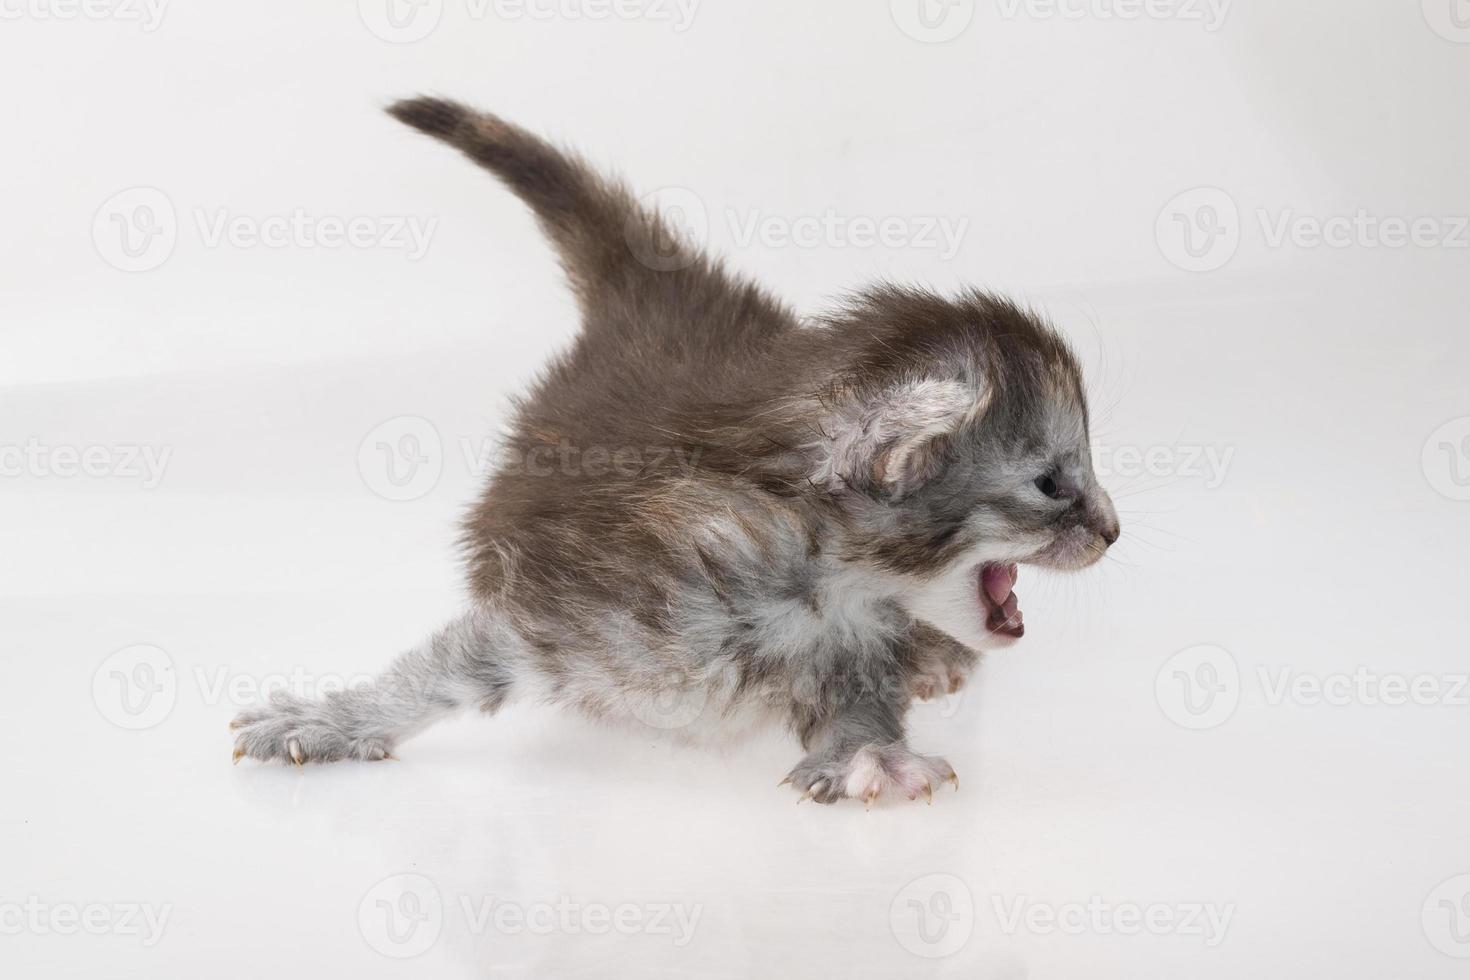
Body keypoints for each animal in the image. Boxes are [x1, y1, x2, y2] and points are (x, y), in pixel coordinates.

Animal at [226, 95, 1111, 811]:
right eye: (1050, 482)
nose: (1112, 529)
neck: (817, 577)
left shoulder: (856, 638)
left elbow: (861, 701)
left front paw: (871, 754)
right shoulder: (570, 600)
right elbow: (447, 667)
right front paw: (334, 719)